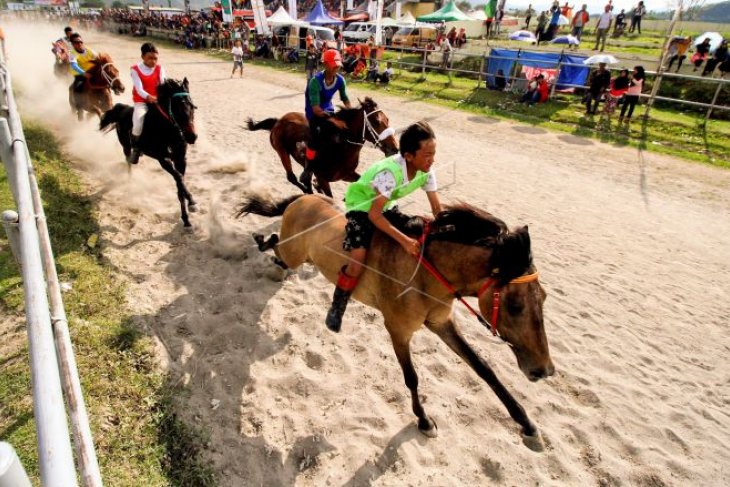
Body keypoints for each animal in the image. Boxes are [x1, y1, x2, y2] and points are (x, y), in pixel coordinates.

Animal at [99, 78, 199, 229]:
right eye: (176, 109)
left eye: (192, 107)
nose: (192, 137)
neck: (169, 132)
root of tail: (122, 108)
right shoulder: (163, 159)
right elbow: (179, 178)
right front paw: (192, 203)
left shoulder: (180, 159)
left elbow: (179, 184)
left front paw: (186, 218)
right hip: (126, 145)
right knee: (128, 161)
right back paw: (129, 181)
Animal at [239, 193, 552, 450]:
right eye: (515, 305)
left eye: (545, 298)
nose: (544, 371)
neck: (426, 273)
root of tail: (303, 198)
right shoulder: (398, 330)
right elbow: (412, 377)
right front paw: (424, 421)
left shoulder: (441, 323)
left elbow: (484, 368)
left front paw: (527, 425)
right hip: (295, 253)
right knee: (277, 246)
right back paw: (262, 242)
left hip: (303, 256)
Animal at [247, 97, 400, 198]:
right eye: (376, 121)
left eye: (387, 119)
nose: (394, 148)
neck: (341, 147)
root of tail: (279, 121)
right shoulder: (322, 177)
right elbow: (329, 196)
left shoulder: (346, 174)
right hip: (281, 151)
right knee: (292, 178)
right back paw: (308, 191)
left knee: (305, 179)